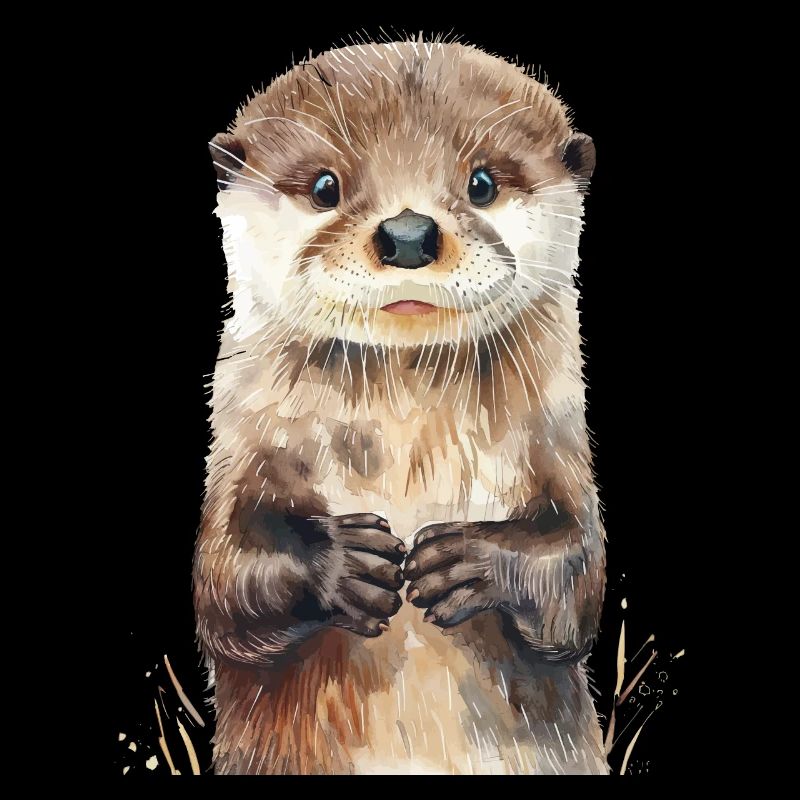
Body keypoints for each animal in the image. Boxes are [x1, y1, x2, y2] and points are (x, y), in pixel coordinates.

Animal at [193, 38, 606, 775]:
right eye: (325, 187)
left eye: (482, 183)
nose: (408, 233)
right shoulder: (240, 441)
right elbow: (225, 578)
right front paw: (344, 564)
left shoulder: (560, 439)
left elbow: (576, 579)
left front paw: (469, 560)